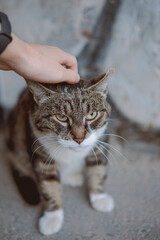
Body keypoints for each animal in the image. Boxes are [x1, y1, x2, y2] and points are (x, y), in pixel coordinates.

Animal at [5, 67, 115, 234]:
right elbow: (48, 184)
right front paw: (52, 217)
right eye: (61, 117)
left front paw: (99, 197)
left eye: (91, 114)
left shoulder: (99, 142)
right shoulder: (40, 152)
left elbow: (98, 169)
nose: (79, 138)